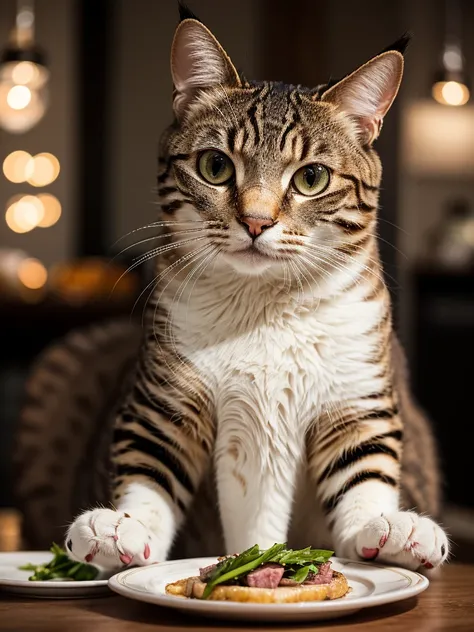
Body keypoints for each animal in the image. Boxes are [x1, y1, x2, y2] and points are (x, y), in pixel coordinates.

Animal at [65, 1, 448, 572]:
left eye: (312, 177)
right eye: (215, 166)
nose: (255, 221)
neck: (264, 306)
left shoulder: (356, 392)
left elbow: (364, 469)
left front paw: (388, 525)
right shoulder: (165, 395)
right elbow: (150, 466)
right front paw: (124, 525)